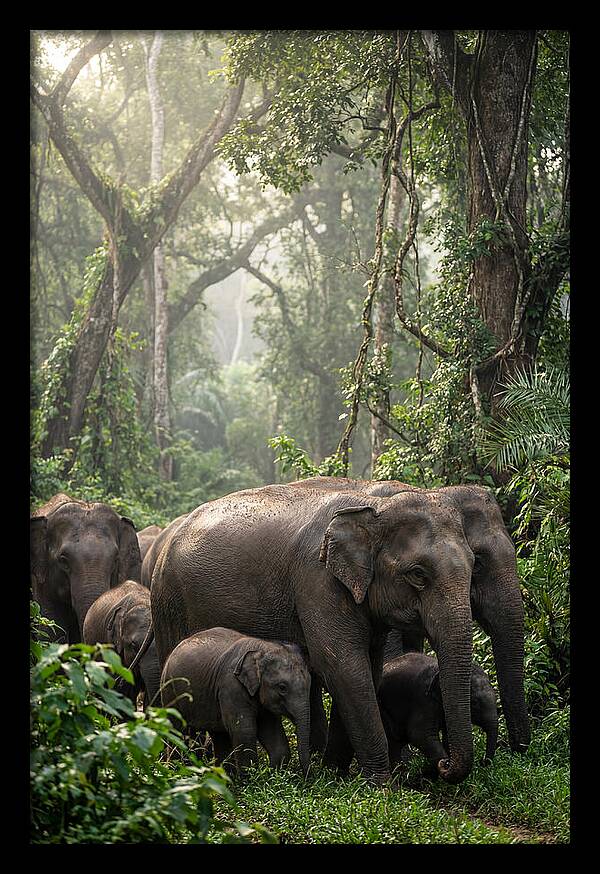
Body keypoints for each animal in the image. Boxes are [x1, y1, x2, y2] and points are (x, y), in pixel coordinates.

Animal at [160, 626, 312, 775]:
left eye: (310, 683)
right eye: (282, 687)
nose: (306, 776)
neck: (262, 647)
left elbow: (273, 735)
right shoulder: (231, 687)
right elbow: (244, 731)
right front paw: (251, 779)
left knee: (219, 736)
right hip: (170, 692)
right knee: (177, 731)